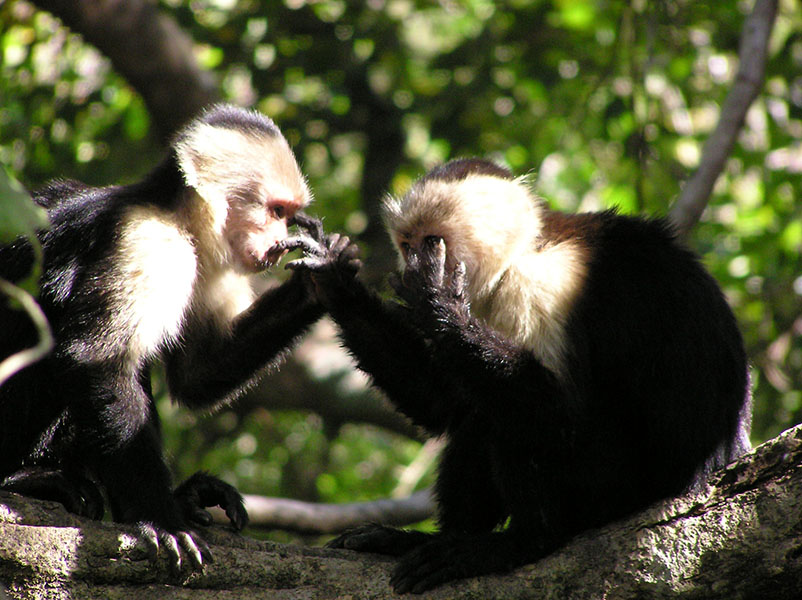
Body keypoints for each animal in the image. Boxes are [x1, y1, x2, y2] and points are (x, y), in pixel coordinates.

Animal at [0, 104, 324, 572]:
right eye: (276, 210)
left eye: (289, 214)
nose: (280, 243)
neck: (176, 217)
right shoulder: (147, 239)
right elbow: (95, 361)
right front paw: (161, 519)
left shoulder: (210, 259)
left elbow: (197, 374)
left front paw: (325, 273)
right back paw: (27, 478)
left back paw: (182, 497)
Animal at [282, 159, 752, 596]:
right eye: (406, 243)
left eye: (431, 241)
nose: (411, 260)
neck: (527, 249)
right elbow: (446, 403)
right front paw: (336, 279)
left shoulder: (540, 288)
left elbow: (562, 421)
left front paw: (437, 302)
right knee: (479, 415)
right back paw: (432, 541)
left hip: (624, 488)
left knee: (512, 425)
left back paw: (523, 543)